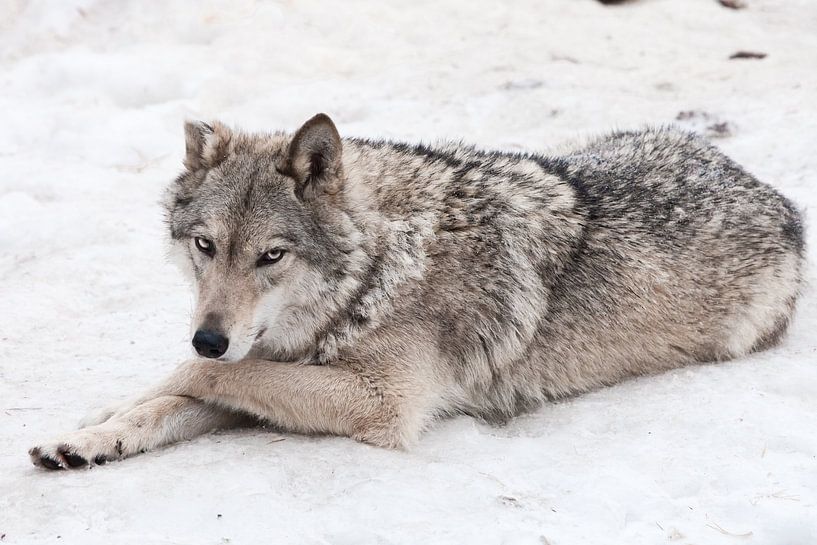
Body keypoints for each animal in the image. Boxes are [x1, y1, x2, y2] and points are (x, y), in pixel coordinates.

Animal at [29, 114, 804, 469]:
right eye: (205, 246)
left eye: (271, 255)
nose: (210, 333)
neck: (377, 268)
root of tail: (768, 189)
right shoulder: (271, 361)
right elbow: (181, 389)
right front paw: (92, 433)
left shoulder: (380, 403)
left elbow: (201, 376)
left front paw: (125, 402)